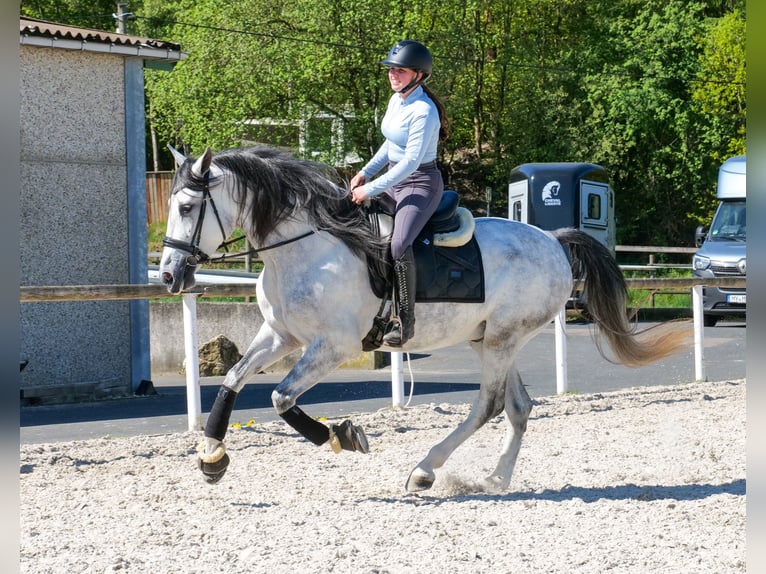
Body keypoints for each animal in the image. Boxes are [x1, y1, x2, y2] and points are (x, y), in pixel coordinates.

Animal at [159, 145, 690, 492]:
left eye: (186, 206)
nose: (168, 275)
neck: (308, 247)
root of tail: (554, 241)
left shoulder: (333, 346)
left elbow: (281, 397)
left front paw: (342, 436)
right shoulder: (280, 336)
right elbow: (232, 379)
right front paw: (211, 457)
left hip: (501, 340)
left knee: (489, 406)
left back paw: (425, 469)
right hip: (491, 340)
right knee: (518, 407)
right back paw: (495, 479)